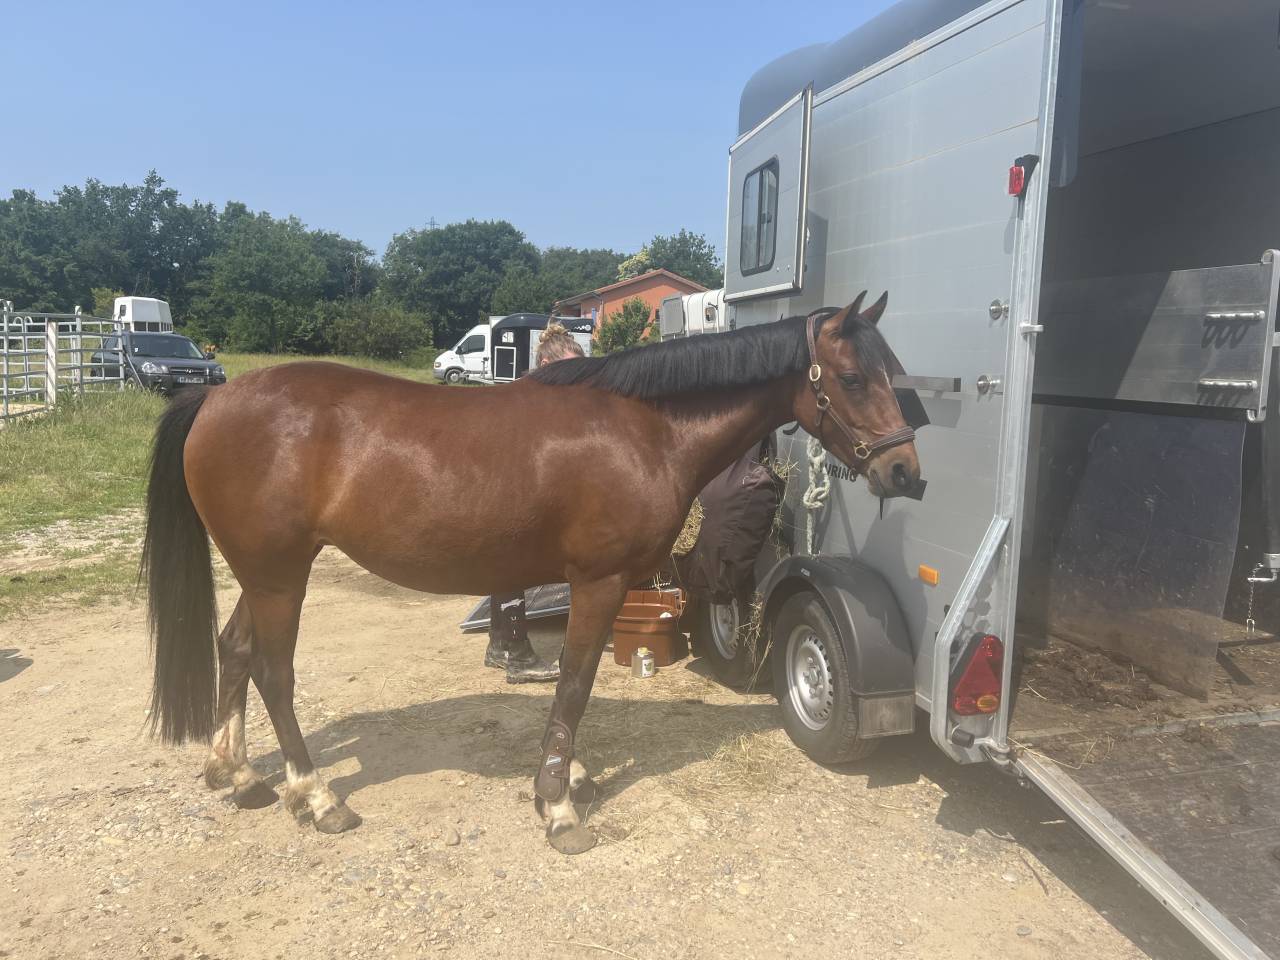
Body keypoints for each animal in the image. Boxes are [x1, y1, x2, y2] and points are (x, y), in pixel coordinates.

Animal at [141, 291, 922, 855]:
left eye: (896, 374)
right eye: (853, 377)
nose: (905, 472)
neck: (643, 427)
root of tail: (213, 398)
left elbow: (577, 690)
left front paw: (569, 775)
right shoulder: (598, 582)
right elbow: (574, 685)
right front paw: (560, 805)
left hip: (265, 574)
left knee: (235, 650)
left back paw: (240, 774)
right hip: (280, 576)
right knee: (273, 672)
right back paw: (316, 796)